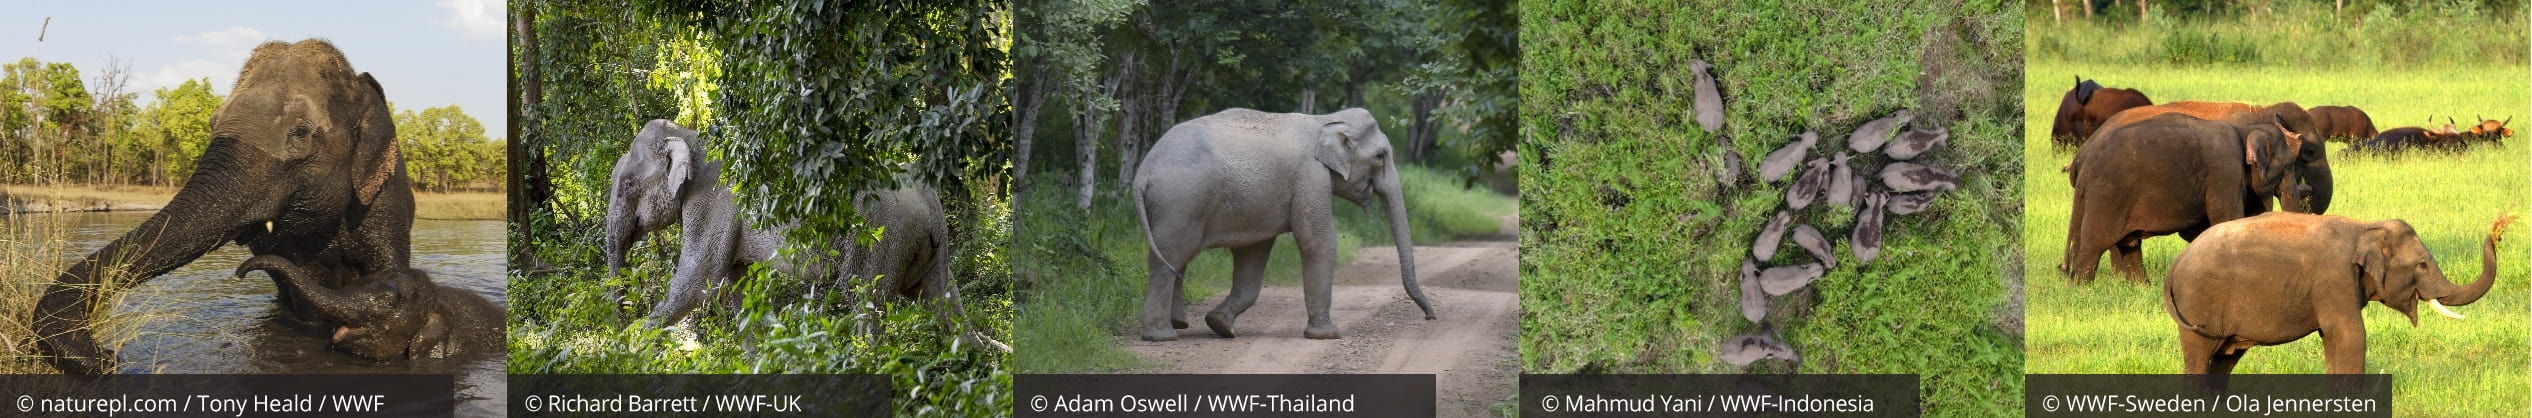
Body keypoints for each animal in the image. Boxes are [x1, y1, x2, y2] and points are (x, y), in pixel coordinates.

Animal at [603, 119, 968, 334]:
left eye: (628, 186)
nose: (619, 322)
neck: (688, 135)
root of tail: (927, 201)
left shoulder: (713, 203)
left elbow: (696, 285)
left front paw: (628, 349)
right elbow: (739, 289)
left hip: (879, 239)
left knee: (866, 302)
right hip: (930, 247)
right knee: (945, 302)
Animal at [1132, 108, 1434, 341]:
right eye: (1380, 155)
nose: (1431, 317)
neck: (1324, 120)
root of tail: (1144, 172)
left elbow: (1253, 254)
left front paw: (1221, 326)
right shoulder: (1310, 177)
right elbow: (1317, 241)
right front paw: (1327, 336)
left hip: (1177, 205)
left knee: (1177, 259)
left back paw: (1179, 325)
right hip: (1181, 202)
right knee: (1169, 257)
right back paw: (1161, 336)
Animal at [2061, 112, 2319, 283]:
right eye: (2288, 165)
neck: (2243, 130)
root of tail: (2086, 160)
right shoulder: (2225, 173)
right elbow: (2226, 218)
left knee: (2128, 245)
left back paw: (2141, 287)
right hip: (2109, 194)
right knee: (2095, 243)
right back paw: (2082, 287)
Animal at [2164, 213, 2506, 374]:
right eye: (2421, 265)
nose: (2497, 231)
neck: (2366, 227)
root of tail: (2177, 261)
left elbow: (2332, 339)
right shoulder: (2334, 279)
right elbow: (2351, 335)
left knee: (2224, 360)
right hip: (2198, 307)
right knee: (2200, 357)